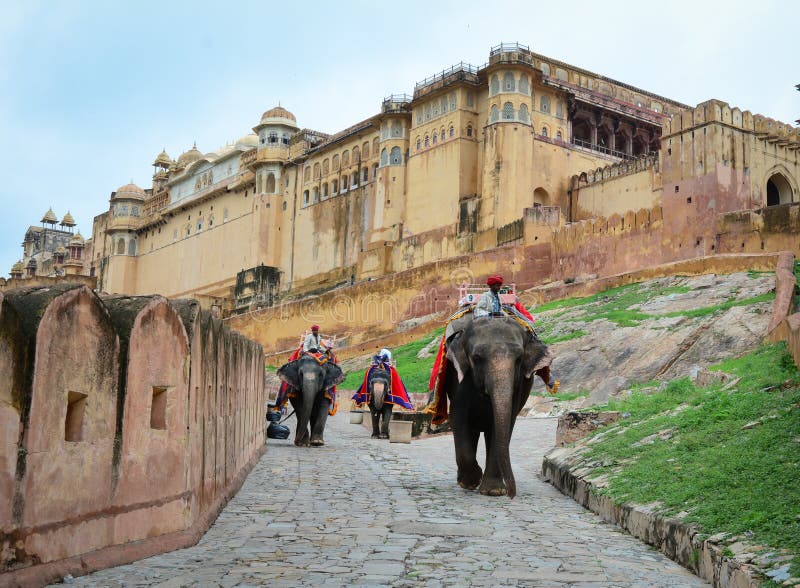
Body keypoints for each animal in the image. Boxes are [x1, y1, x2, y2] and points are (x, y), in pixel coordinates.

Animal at [444, 316, 552, 496]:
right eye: (477, 357)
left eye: (519, 359)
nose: (511, 494)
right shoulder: (459, 378)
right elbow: (457, 417)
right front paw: (471, 482)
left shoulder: (518, 386)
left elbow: (503, 423)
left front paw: (493, 491)